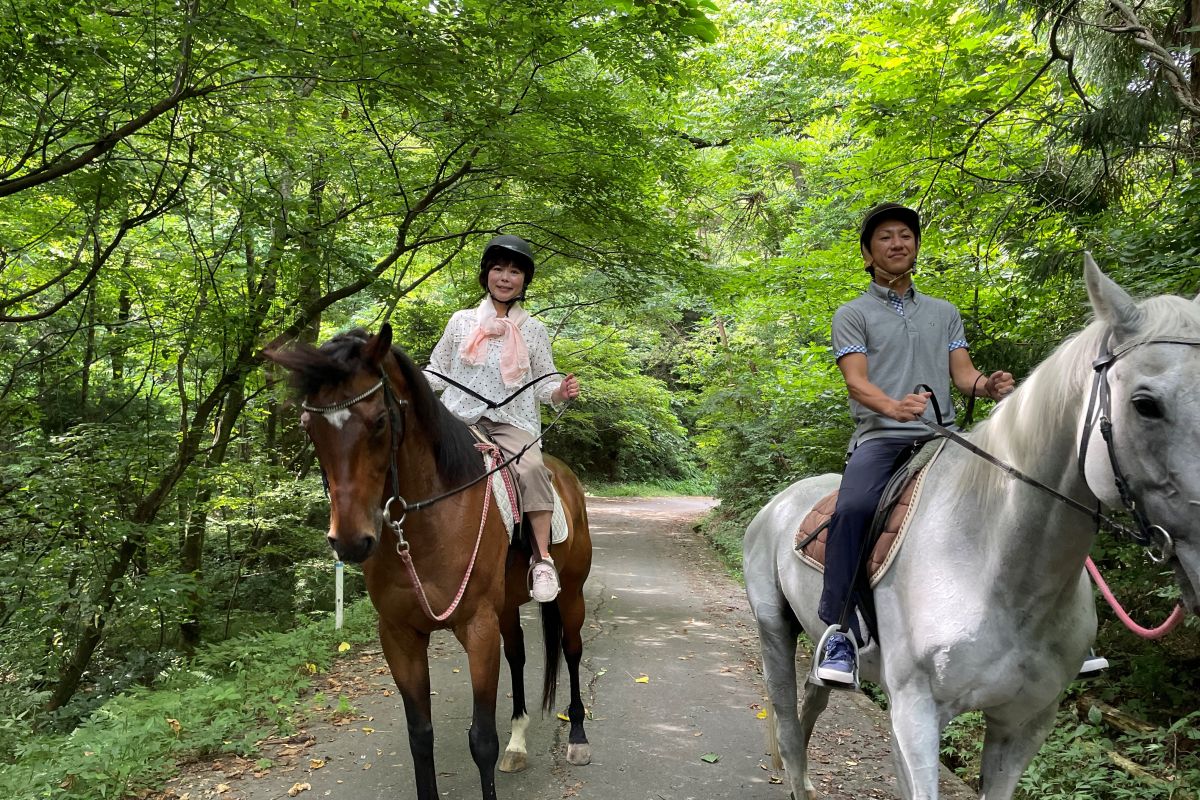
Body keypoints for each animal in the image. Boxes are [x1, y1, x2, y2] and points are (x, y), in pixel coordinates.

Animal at [267, 321, 595, 796]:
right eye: (309, 425)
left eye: (379, 421)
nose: (350, 542)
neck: (427, 521)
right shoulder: (399, 634)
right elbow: (420, 736)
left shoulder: (477, 627)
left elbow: (481, 739)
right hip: (507, 606)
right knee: (518, 655)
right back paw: (518, 743)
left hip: (571, 594)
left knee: (571, 651)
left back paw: (578, 738)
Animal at [744, 256, 1195, 800]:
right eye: (1146, 404)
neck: (996, 568)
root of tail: (778, 504)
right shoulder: (917, 715)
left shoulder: (1024, 724)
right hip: (774, 627)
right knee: (788, 717)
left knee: (813, 699)